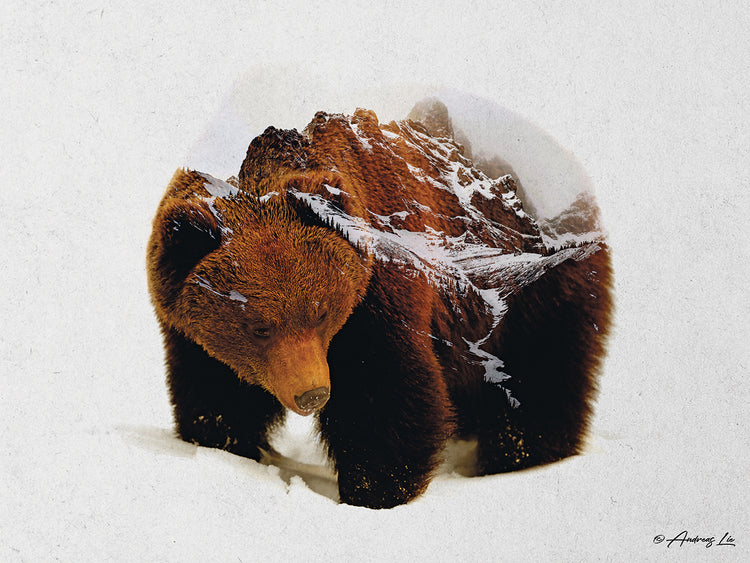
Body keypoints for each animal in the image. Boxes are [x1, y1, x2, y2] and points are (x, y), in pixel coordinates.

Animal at [147, 107, 613, 509]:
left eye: (320, 312)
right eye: (259, 327)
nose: (312, 393)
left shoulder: (378, 298)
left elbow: (384, 397)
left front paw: (374, 491)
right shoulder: (193, 334)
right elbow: (216, 395)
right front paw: (223, 447)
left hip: (535, 288)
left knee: (540, 374)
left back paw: (519, 456)